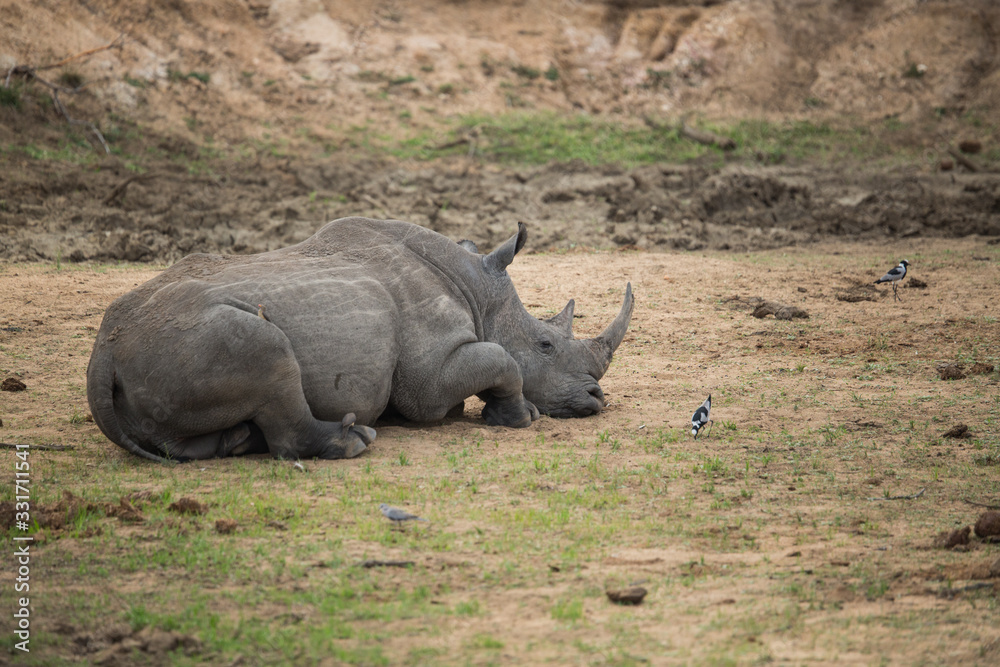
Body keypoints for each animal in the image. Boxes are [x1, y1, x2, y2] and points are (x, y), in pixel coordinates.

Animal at [86, 217, 634, 463]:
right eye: (545, 345)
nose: (595, 396)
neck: (479, 292)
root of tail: (103, 355)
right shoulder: (428, 378)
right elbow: (501, 361)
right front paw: (519, 417)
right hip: (207, 336)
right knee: (267, 350)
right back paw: (354, 441)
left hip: (161, 347)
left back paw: (240, 441)